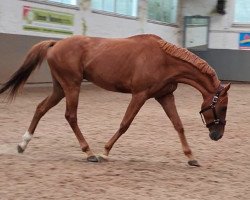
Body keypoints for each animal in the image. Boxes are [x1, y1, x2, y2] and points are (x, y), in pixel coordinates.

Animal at [0, 34, 230, 166]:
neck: (165, 60)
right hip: (72, 86)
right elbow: (124, 124)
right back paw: (89, 153)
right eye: (223, 107)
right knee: (71, 116)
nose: (217, 136)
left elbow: (178, 125)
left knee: (40, 108)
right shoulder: (140, 94)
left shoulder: (164, 96)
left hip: (60, 88)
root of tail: (56, 43)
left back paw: (22, 144)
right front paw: (105, 152)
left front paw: (191, 157)